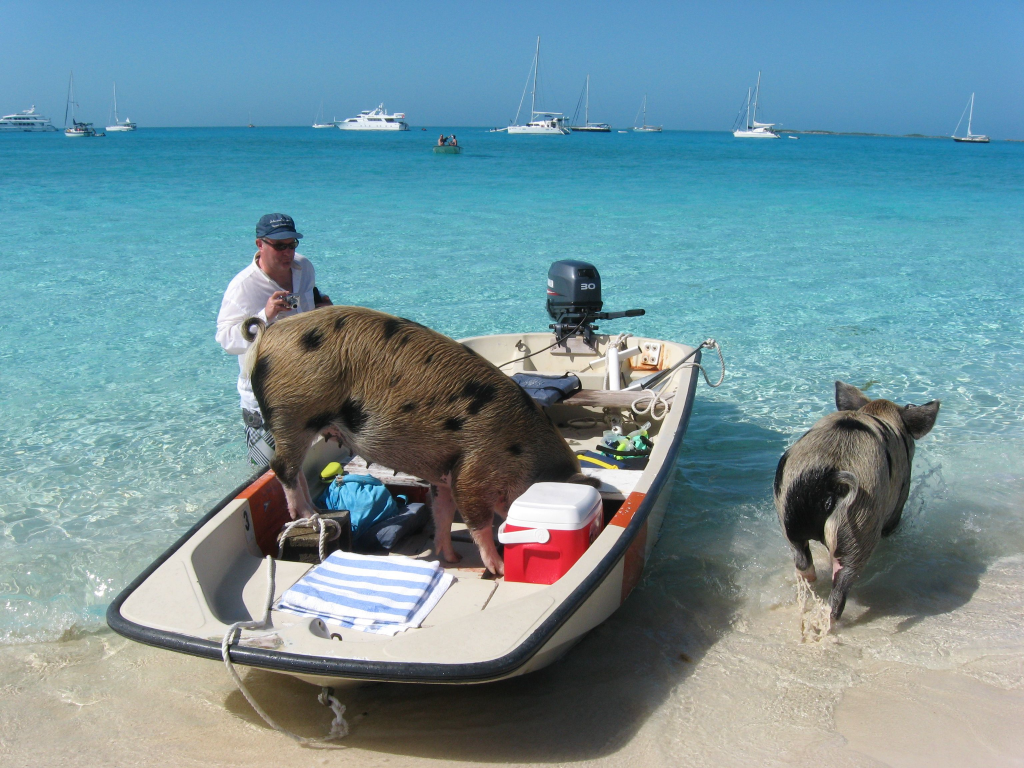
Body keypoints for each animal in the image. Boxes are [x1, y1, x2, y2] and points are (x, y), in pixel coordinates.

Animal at [240, 306, 598, 575]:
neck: (524, 454)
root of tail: (267, 333)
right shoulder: (474, 470)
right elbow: (477, 520)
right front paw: (497, 568)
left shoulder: (445, 473)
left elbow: (442, 511)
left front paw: (451, 558)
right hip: (294, 412)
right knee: (282, 466)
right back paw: (306, 515)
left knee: (295, 469)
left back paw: (315, 511)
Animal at [773, 380, 940, 621]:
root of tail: (829, 477)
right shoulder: (903, 490)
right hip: (858, 526)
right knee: (840, 588)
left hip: (788, 510)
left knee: (803, 563)